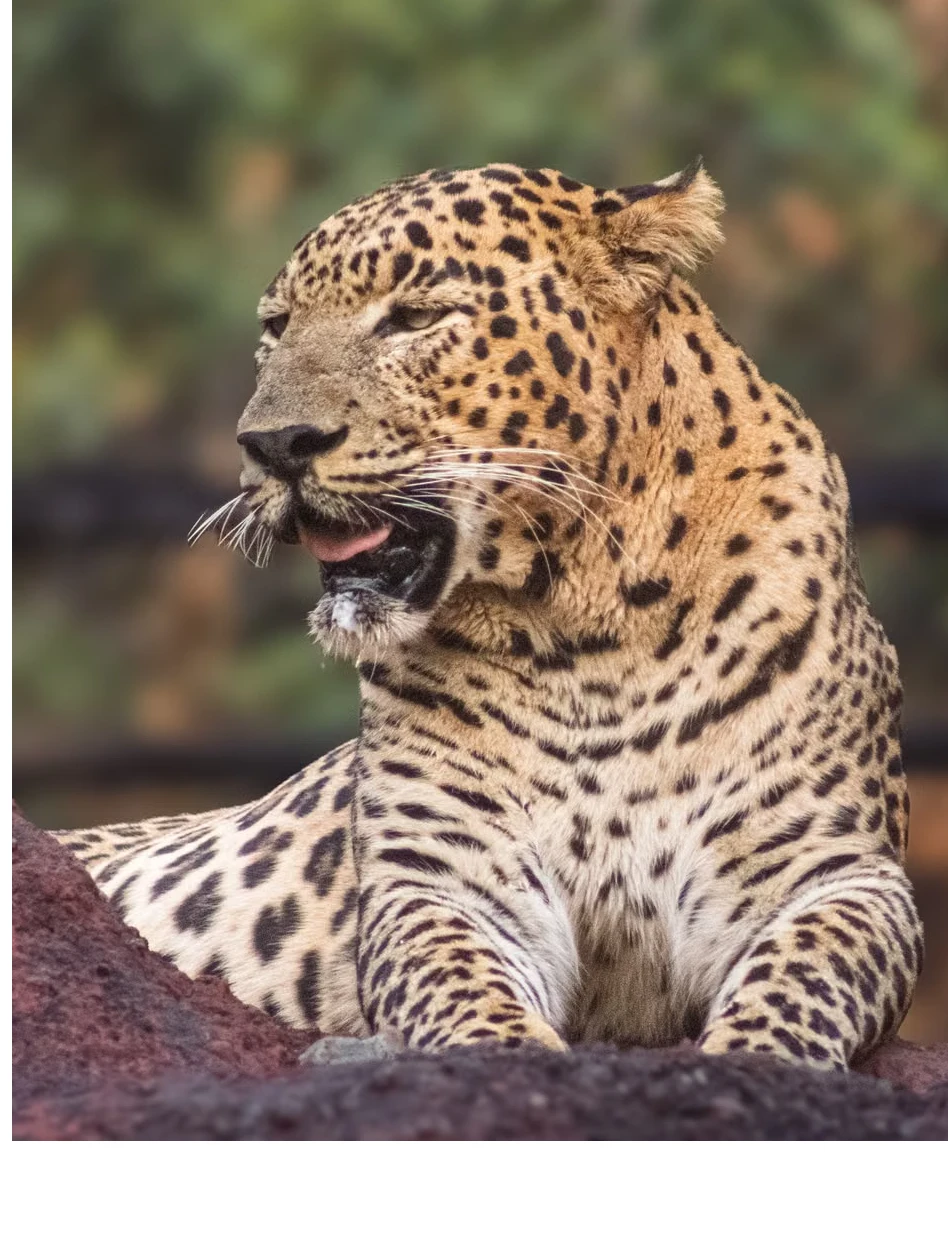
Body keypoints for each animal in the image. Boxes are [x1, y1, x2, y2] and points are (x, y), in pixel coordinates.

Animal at [55, 159, 924, 1070]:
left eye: (415, 318)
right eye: (278, 326)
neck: (592, 629)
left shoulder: (835, 871)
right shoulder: (443, 879)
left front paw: (742, 1061)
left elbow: (799, 985)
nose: (272, 444)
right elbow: (464, 994)